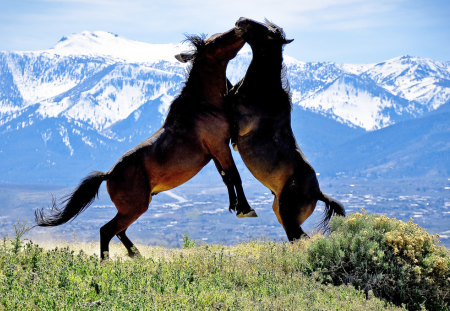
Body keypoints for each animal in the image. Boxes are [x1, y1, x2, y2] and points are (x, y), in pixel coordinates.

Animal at [35, 27, 256, 260]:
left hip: (134, 207)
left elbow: (226, 177)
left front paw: (234, 206)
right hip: (135, 207)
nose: (239, 29)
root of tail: (109, 175)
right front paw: (245, 209)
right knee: (107, 230)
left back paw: (137, 256)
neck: (203, 105)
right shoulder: (219, 145)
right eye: (218, 40)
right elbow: (235, 175)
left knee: (119, 231)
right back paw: (109, 261)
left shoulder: (214, 151)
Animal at [229, 17, 344, 241]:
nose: (241, 21)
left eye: (266, 32)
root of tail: (317, 193)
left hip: (287, 212)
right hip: (281, 213)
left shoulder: (239, 118)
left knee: (299, 238)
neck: (263, 89)